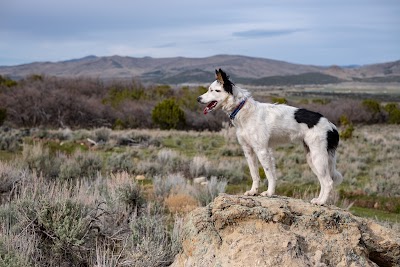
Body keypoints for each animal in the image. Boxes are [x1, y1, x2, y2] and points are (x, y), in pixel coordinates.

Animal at [198, 69, 342, 205]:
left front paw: (269, 193)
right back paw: (318, 200)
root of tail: (331, 125)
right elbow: (255, 174)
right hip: (312, 158)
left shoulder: (262, 150)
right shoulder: (248, 150)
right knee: (323, 181)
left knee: (328, 182)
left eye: (214, 90)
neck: (243, 110)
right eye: (209, 89)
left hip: (318, 157)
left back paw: (321, 202)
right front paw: (253, 191)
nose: (198, 99)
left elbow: (269, 174)